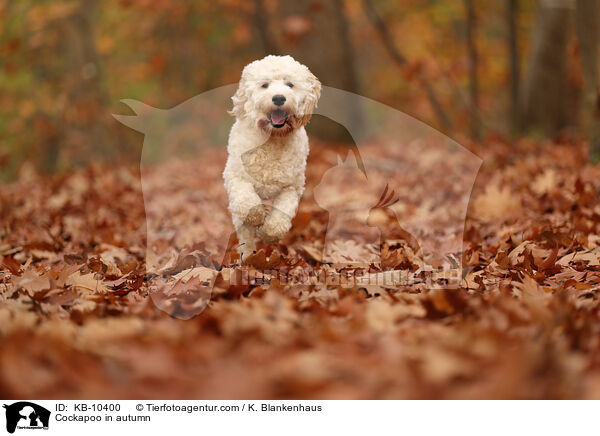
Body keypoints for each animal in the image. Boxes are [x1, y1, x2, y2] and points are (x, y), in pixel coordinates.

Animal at [224, 54, 318, 258]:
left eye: (290, 84)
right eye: (265, 85)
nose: (279, 98)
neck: (273, 137)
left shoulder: (292, 187)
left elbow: (281, 216)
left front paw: (268, 232)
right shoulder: (236, 177)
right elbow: (246, 202)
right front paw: (257, 216)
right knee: (244, 231)